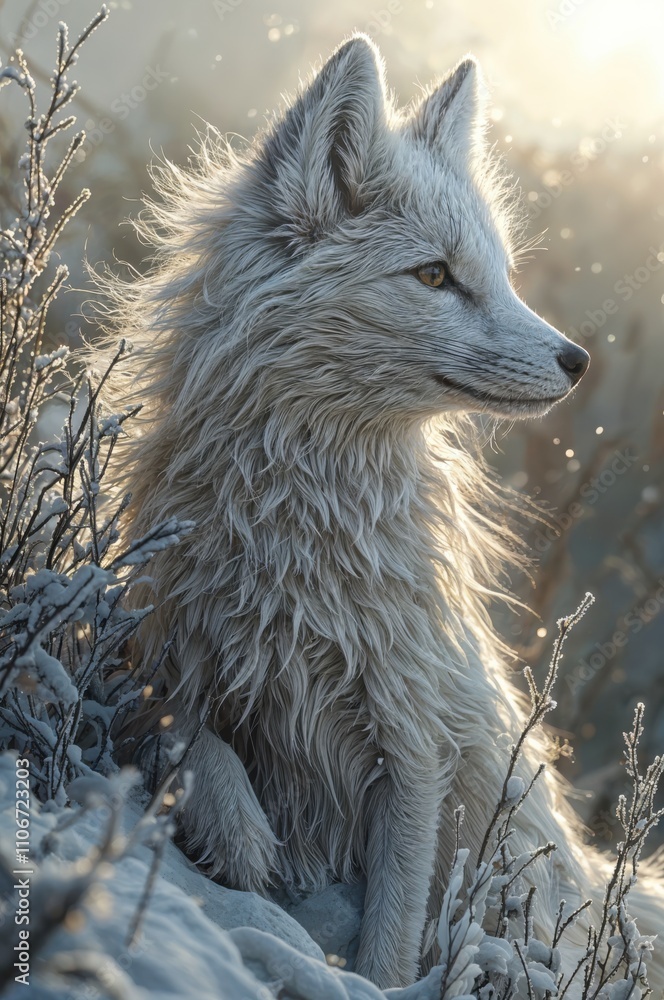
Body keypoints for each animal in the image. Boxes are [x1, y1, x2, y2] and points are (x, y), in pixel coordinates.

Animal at [102, 35, 664, 991]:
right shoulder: (155, 658)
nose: (577, 360)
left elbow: (392, 949)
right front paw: (240, 834)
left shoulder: (412, 750)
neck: (302, 548)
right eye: (434, 275)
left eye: (501, 275)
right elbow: (185, 734)